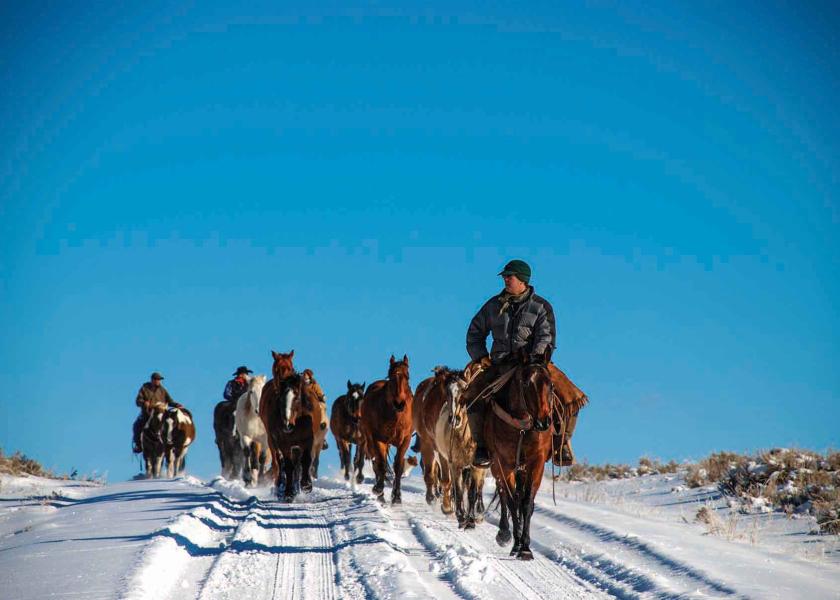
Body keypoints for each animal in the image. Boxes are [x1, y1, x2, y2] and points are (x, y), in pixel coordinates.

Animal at [260, 372, 316, 500]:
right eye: (281, 399)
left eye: (297, 397)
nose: (287, 425)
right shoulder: (284, 444)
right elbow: (288, 465)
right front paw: (289, 493)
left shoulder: (308, 440)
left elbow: (306, 460)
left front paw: (306, 485)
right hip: (272, 442)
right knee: (279, 462)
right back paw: (281, 486)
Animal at [360, 354, 416, 504]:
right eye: (391, 377)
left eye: (407, 376)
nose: (399, 403)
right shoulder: (379, 439)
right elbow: (381, 464)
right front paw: (379, 489)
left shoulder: (405, 440)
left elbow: (398, 466)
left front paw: (397, 496)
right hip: (371, 440)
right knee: (377, 463)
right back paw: (379, 493)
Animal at [486, 350, 556, 560]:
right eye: (526, 384)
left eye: (550, 385)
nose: (543, 423)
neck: (522, 428)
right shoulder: (504, 463)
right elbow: (511, 501)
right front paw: (516, 544)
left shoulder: (536, 464)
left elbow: (526, 503)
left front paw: (525, 547)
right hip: (497, 466)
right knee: (503, 494)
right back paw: (504, 533)